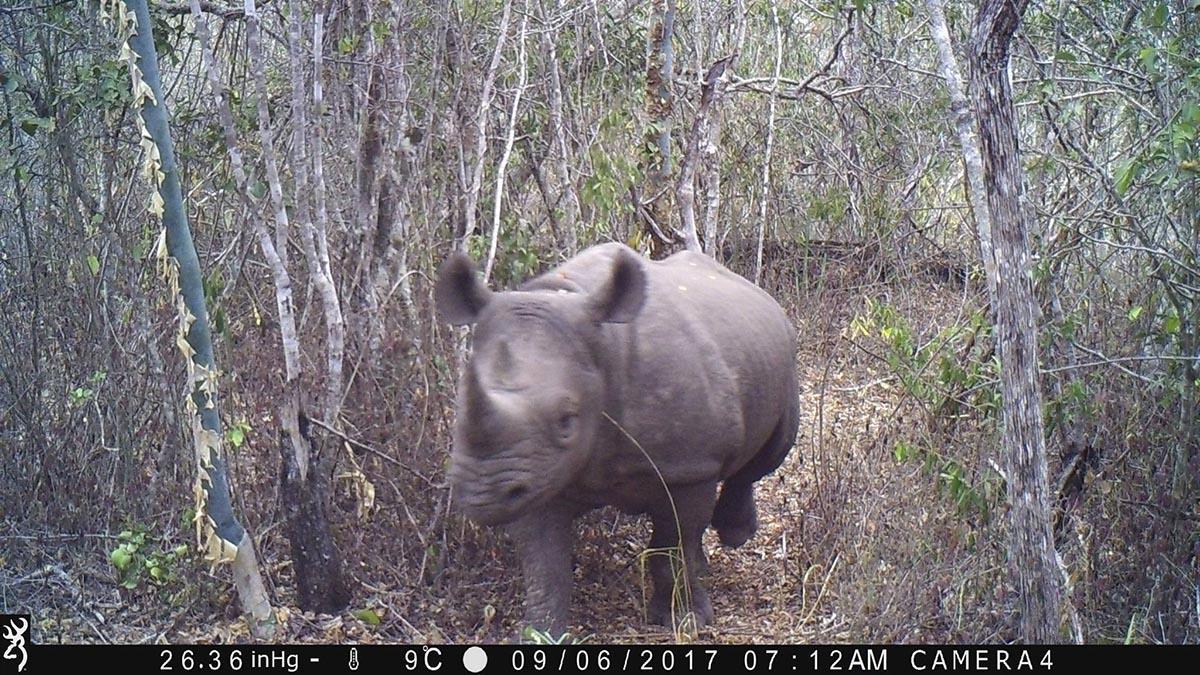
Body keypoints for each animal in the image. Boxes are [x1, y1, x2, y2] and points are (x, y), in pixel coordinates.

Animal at [434, 242, 796, 634]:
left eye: (567, 420)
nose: (483, 495)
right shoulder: (533, 473)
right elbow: (544, 568)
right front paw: (539, 632)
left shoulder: (690, 466)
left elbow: (672, 549)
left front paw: (685, 620)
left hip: (783, 354)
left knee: (770, 453)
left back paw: (735, 534)